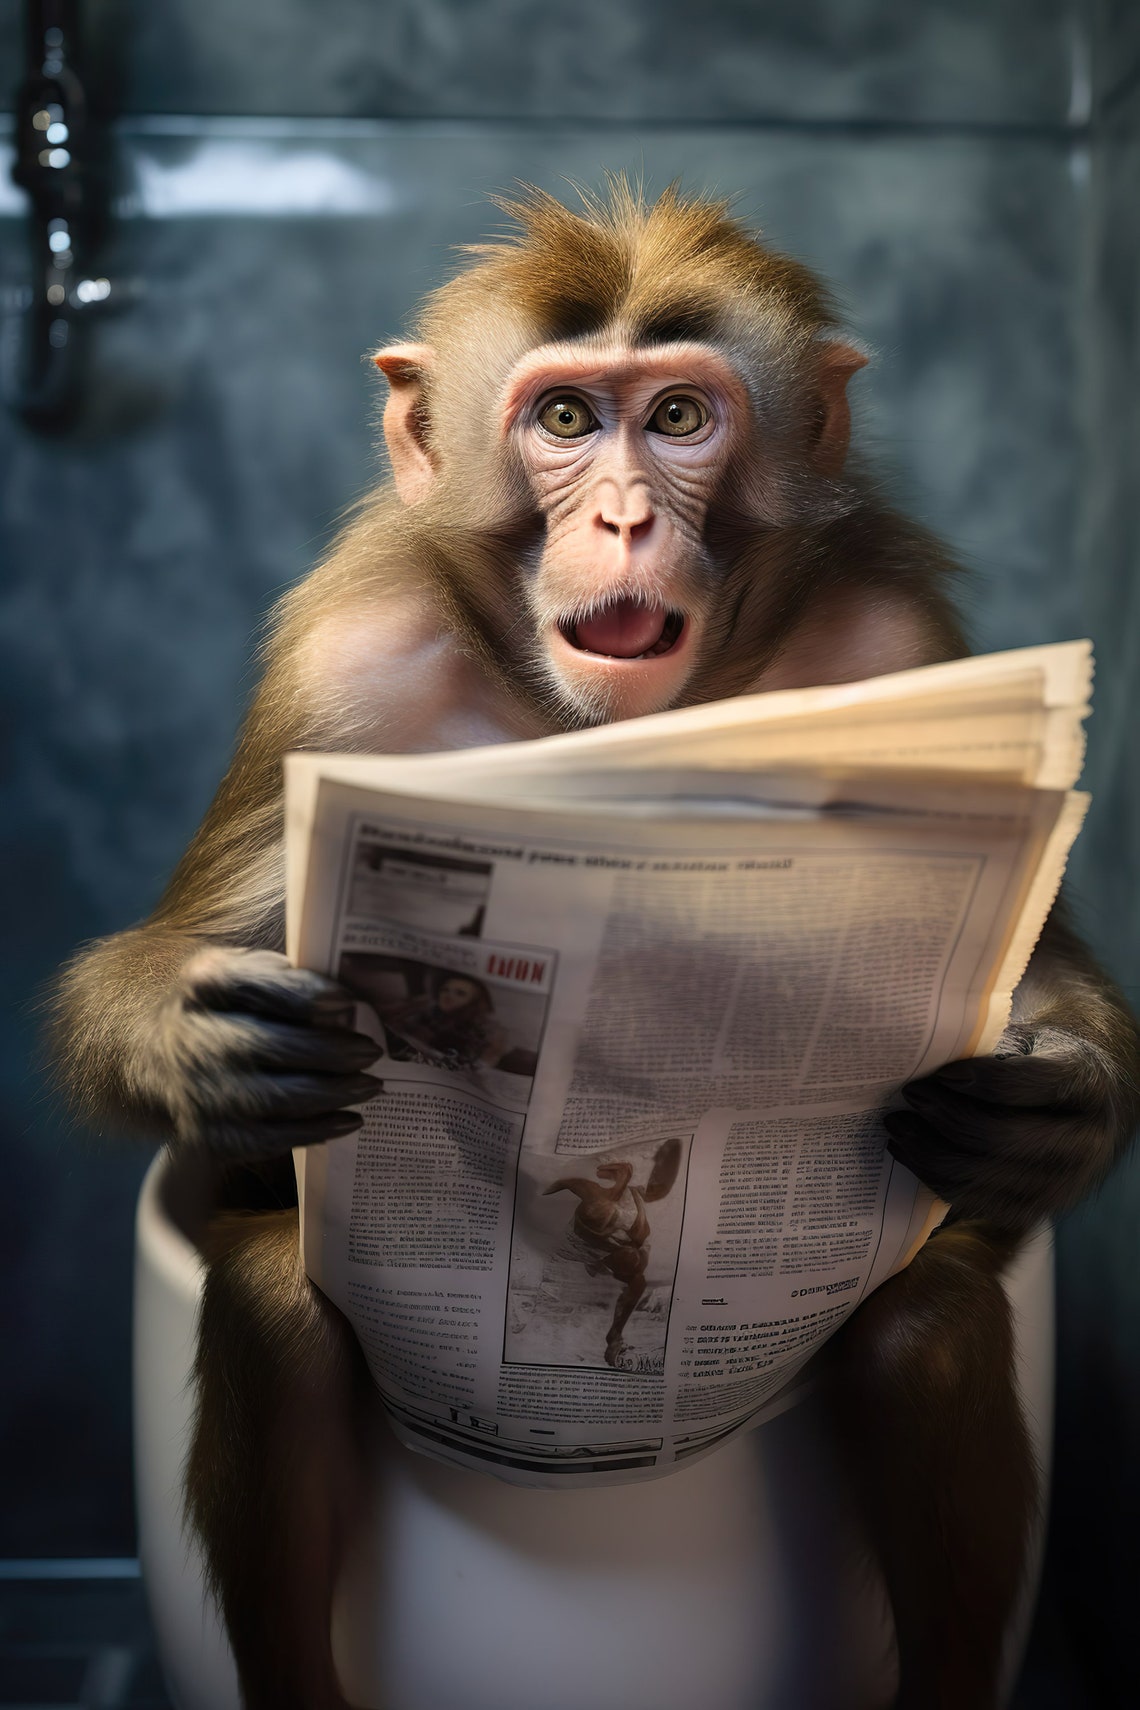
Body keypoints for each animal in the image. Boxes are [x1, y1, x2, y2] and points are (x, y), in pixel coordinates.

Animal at [51, 181, 1139, 1710]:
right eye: (565, 420)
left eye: (678, 417)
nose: (623, 518)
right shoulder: (341, 666)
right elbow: (182, 952)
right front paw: (205, 1043)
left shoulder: (900, 642)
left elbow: (1033, 972)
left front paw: (1047, 1104)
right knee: (276, 1305)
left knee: (921, 1318)